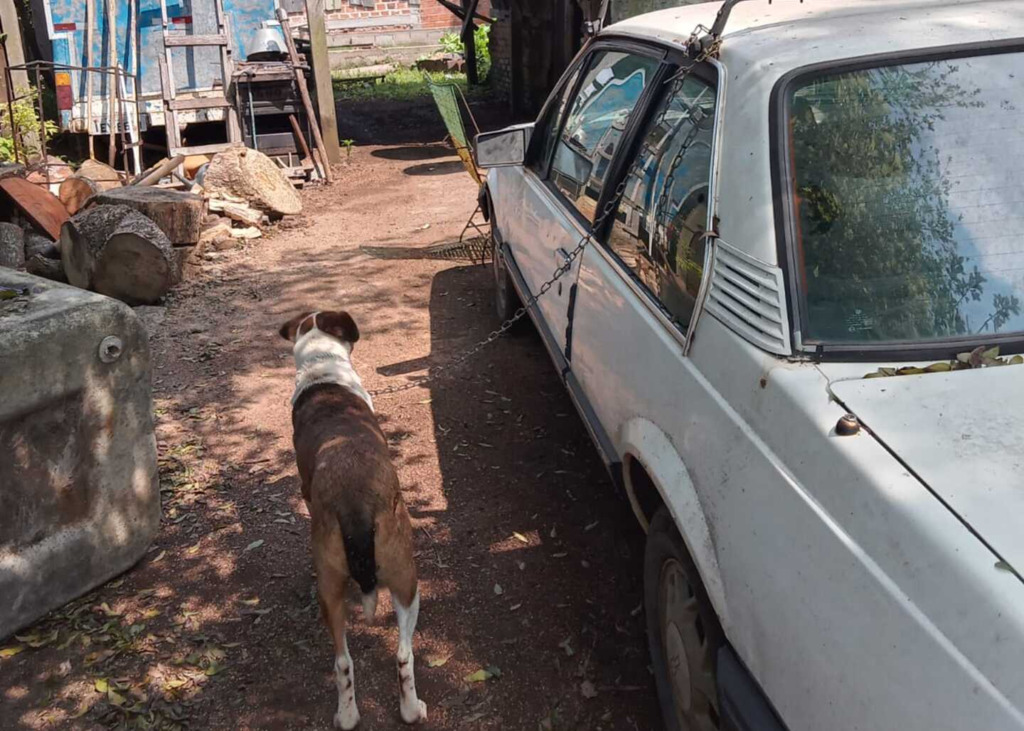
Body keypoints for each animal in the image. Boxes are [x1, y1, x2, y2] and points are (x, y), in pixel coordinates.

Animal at [278, 311, 425, 724]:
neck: (322, 371)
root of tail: (354, 501)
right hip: (409, 583)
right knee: (404, 654)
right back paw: (410, 710)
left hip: (336, 592)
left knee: (345, 663)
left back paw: (348, 716)